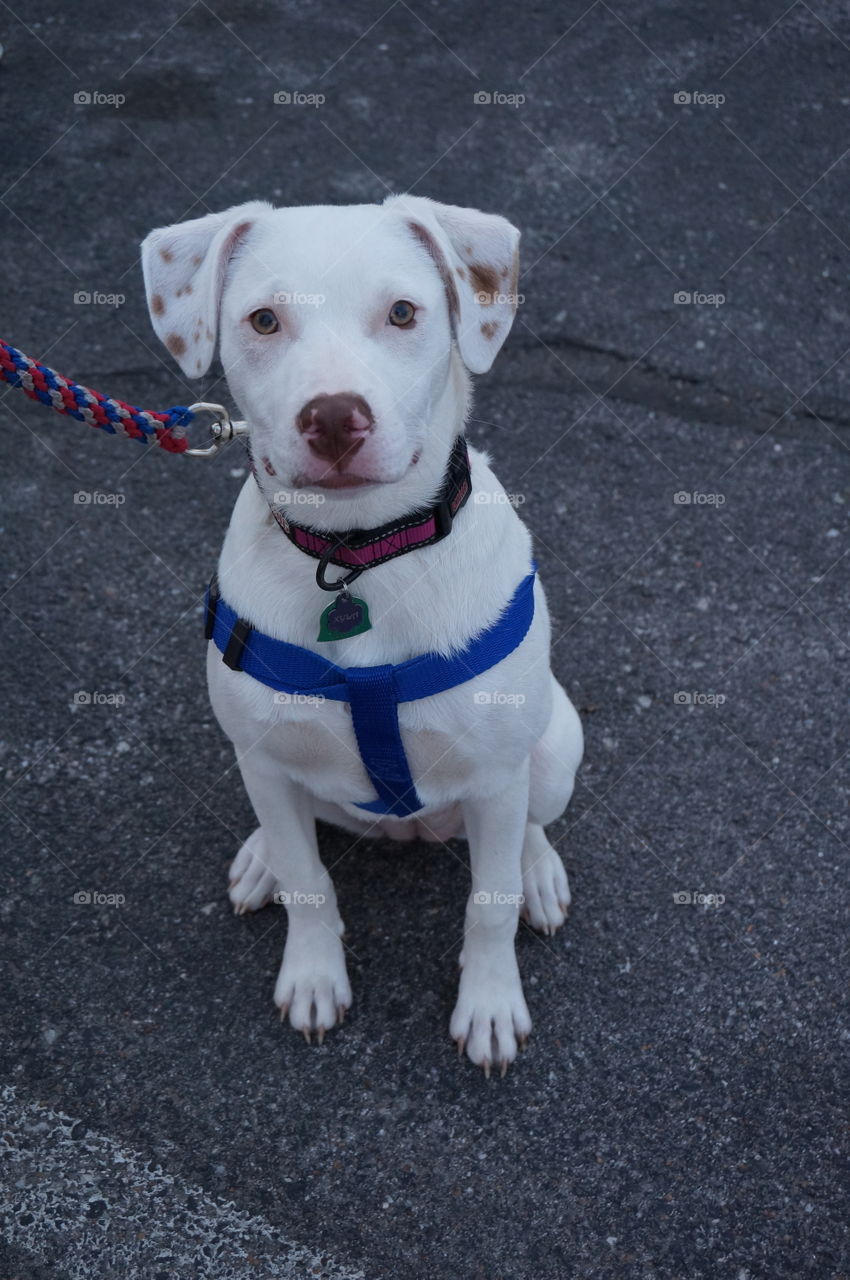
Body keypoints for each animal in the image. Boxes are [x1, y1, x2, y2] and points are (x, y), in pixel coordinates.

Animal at [144, 194, 583, 1075]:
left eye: (404, 313)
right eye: (264, 319)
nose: (335, 418)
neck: (359, 558)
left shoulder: (495, 775)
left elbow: (488, 904)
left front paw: (490, 1004)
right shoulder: (265, 758)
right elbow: (308, 879)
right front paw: (313, 975)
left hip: (555, 748)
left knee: (530, 821)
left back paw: (539, 870)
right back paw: (259, 857)